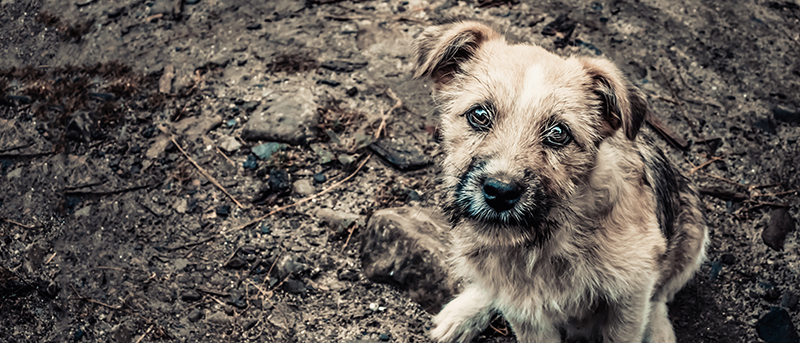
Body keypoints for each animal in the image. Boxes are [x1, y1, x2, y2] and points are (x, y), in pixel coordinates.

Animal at [412, 22, 708, 343]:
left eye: (558, 133)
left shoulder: (630, 297)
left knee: (661, 296)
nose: (500, 192)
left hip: (694, 237)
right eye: (479, 115)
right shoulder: (525, 313)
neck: (546, 238)